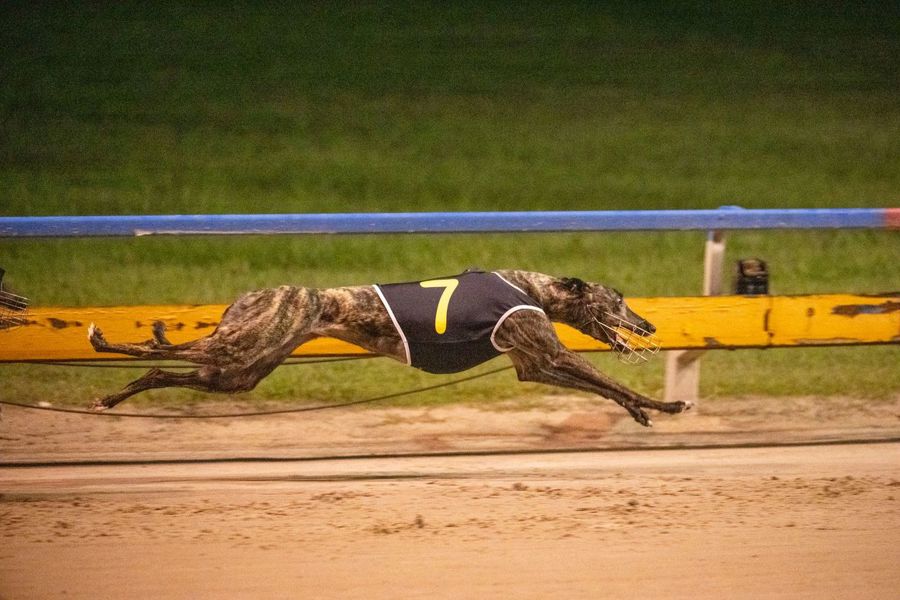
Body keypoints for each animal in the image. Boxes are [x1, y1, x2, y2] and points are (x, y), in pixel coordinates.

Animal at [88, 269, 691, 426]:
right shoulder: (553, 354)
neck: (533, 288)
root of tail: (254, 295)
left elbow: (605, 388)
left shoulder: (535, 365)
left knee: (168, 371)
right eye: (619, 300)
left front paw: (642, 411)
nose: (649, 326)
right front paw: (667, 404)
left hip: (243, 370)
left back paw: (113, 396)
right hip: (241, 347)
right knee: (163, 353)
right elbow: (607, 378)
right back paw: (110, 341)